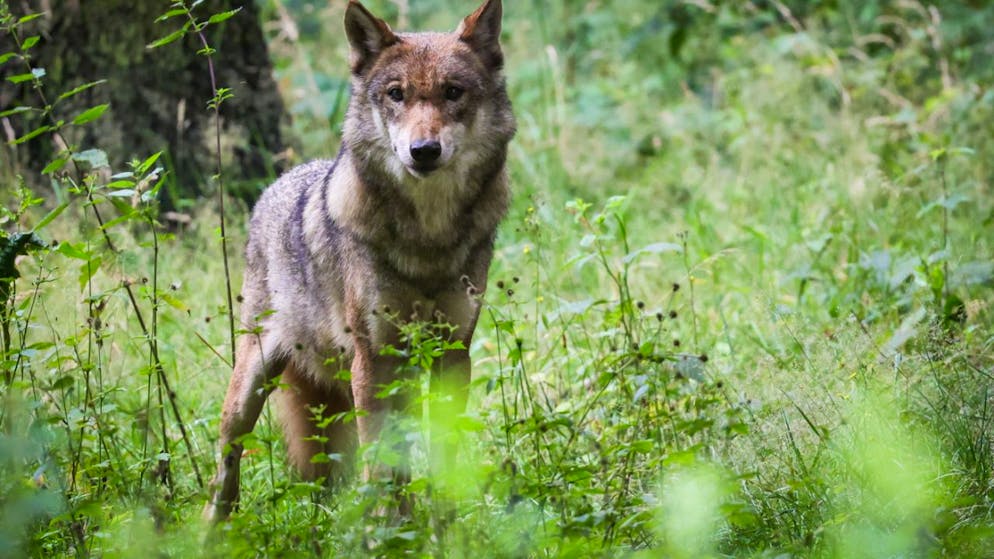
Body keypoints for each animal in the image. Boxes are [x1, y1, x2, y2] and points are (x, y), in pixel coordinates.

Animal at [203, 0, 515, 522]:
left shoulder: (452, 354)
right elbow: (379, 460)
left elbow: (442, 455)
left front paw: (445, 524)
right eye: (396, 94)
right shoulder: (373, 358)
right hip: (251, 385)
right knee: (226, 465)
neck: (427, 239)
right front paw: (386, 528)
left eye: (453, 92)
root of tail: (278, 182)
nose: (423, 151)